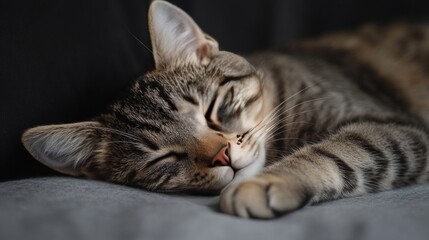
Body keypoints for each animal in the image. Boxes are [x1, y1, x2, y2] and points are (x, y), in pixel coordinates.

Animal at [20, 0, 428, 218]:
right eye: (163, 158)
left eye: (211, 110)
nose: (222, 156)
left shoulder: (397, 126)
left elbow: (341, 148)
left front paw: (268, 182)